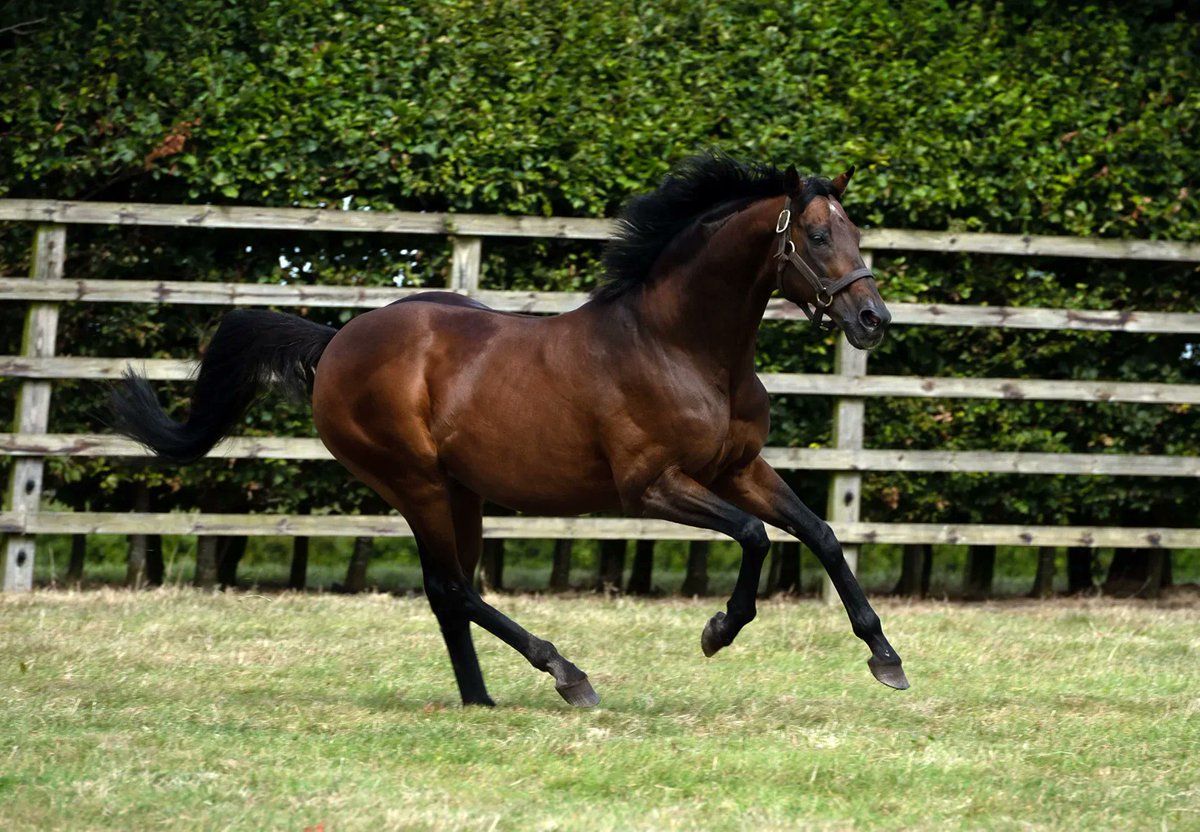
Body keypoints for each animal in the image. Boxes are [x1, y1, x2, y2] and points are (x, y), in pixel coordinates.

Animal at [114, 150, 907, 705]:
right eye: (815, 234)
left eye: (855, 231)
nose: (874, 320)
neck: (681, 346)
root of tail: (335, 342)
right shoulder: (651, 487)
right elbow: (755, 537)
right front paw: (718, 631)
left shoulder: (738, 468)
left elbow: (820, 532)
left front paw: (886, 658)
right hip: (415, 483)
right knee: (452, 586)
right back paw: (565, 674)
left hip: (459, 491)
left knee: (448, 590)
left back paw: (482, 699)